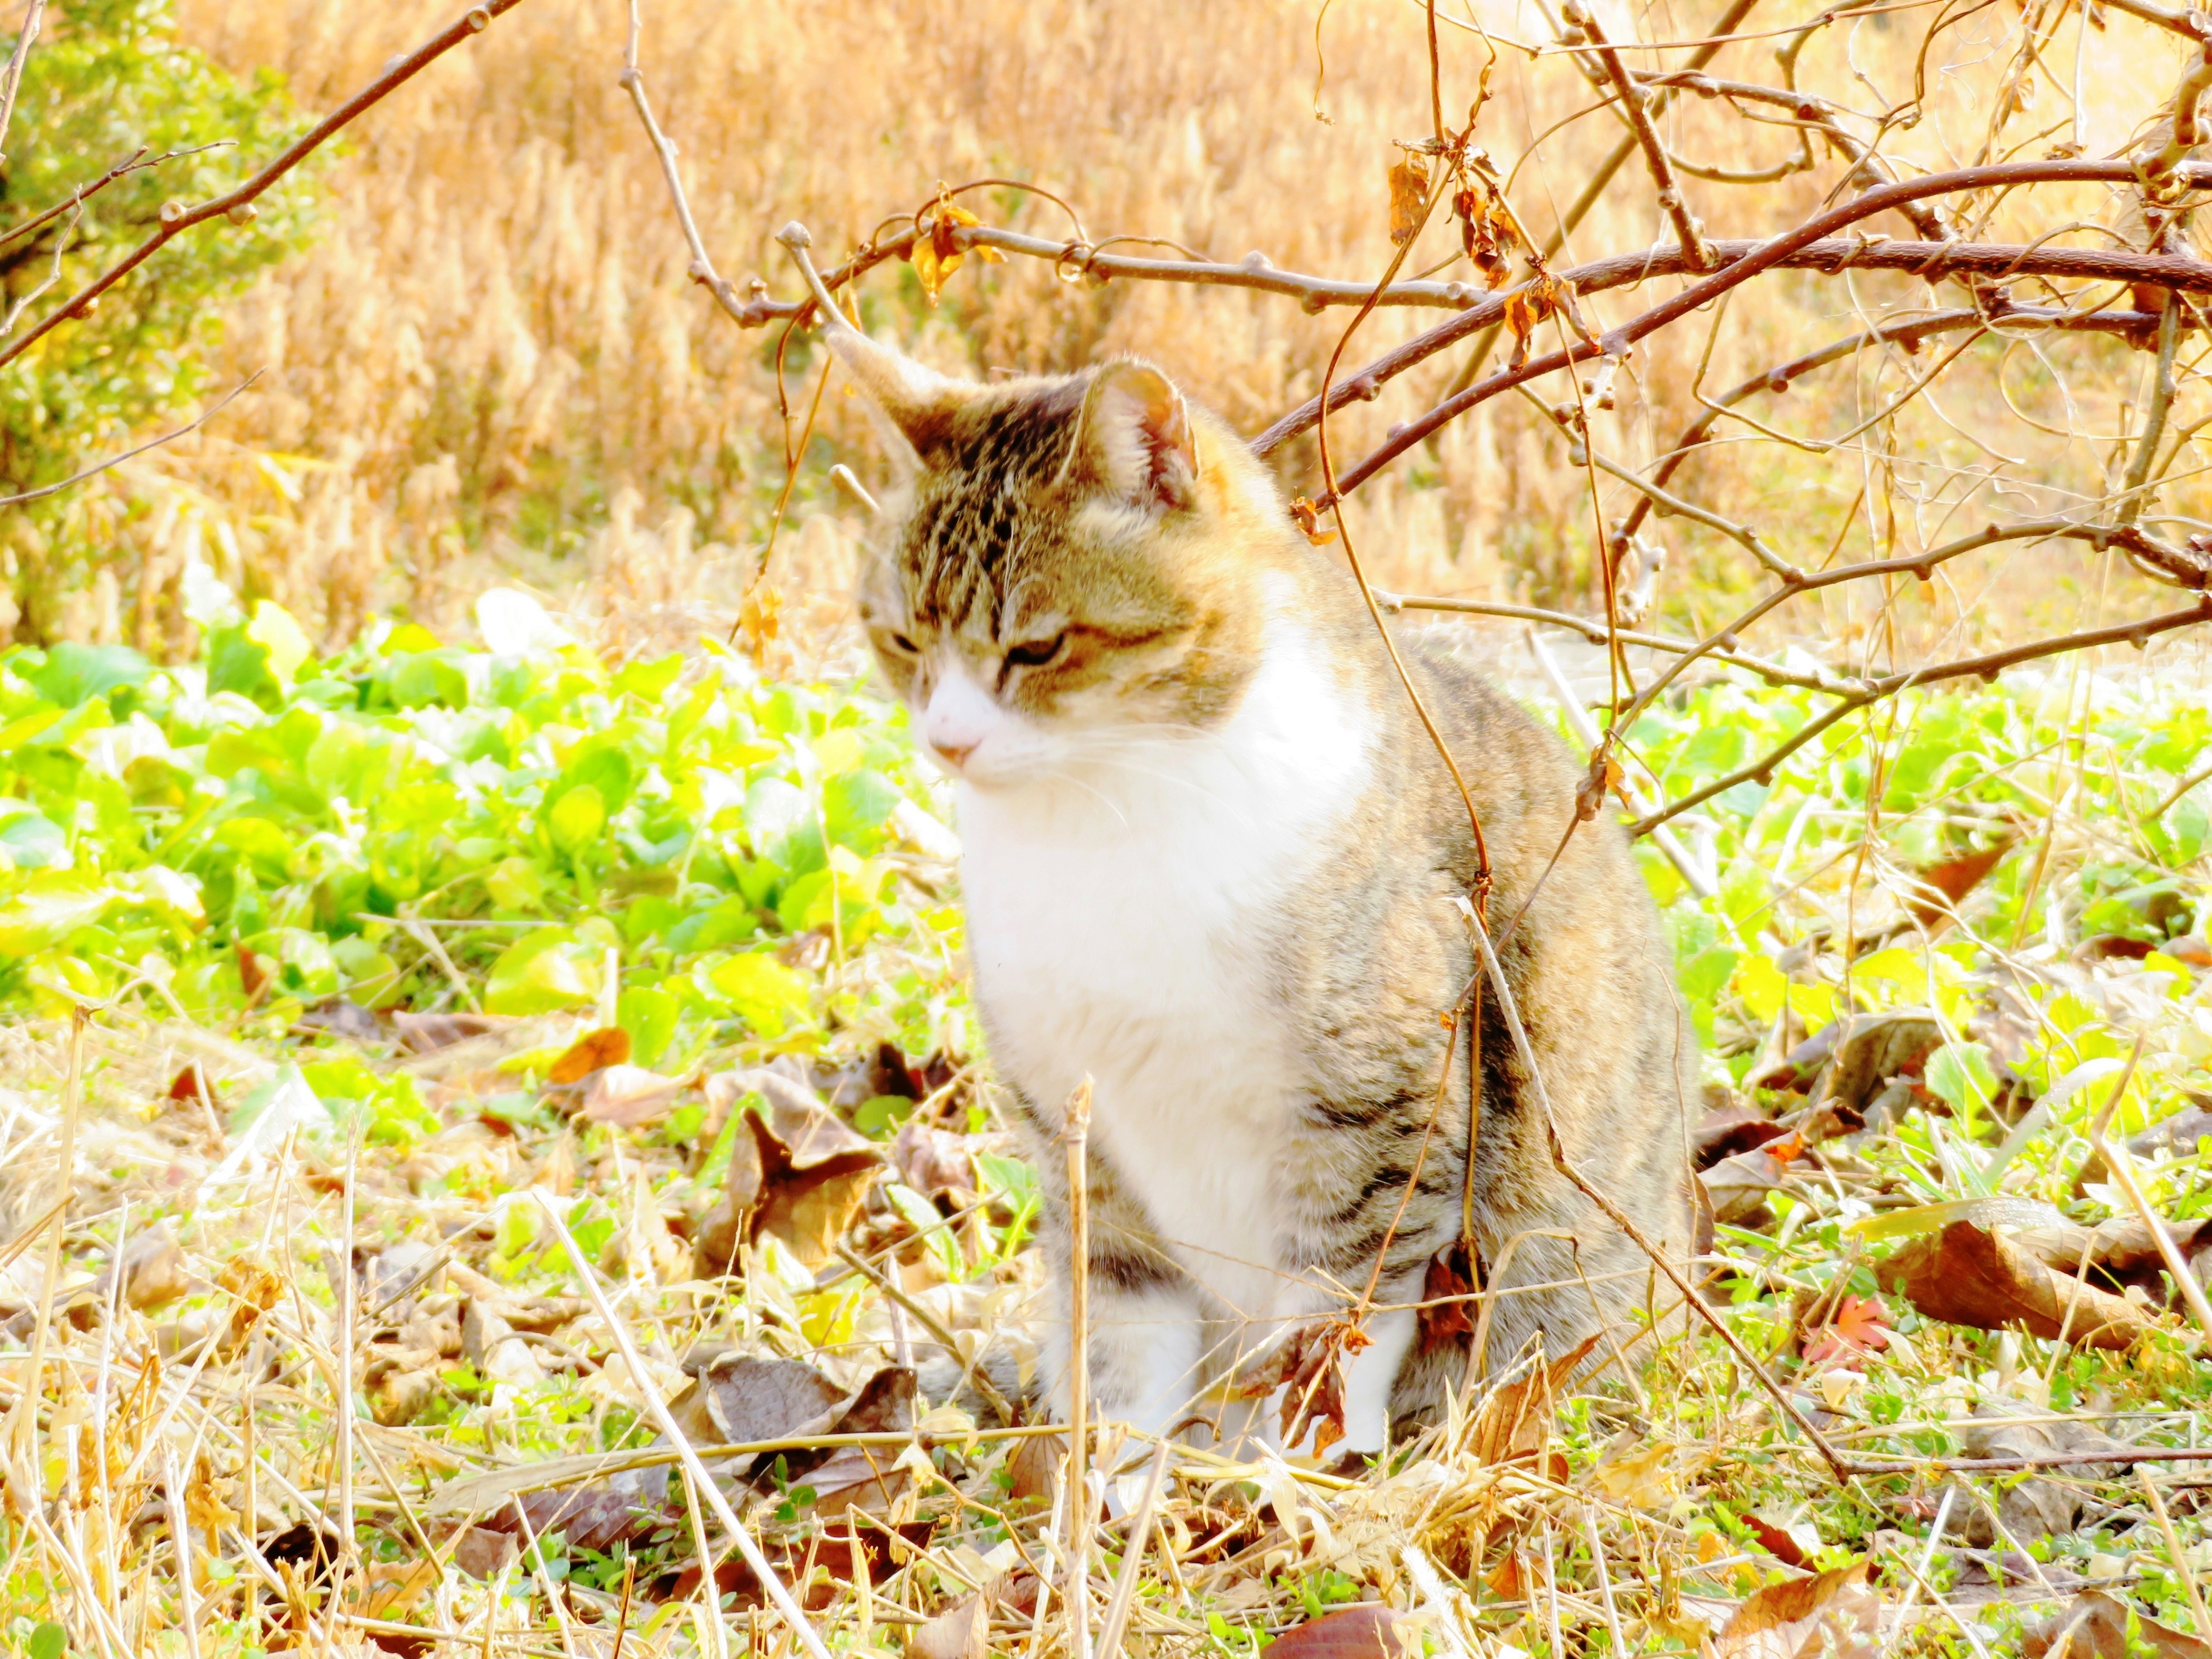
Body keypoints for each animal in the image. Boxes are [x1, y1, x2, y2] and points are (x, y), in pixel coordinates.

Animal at [831, 325, 1690, 1451]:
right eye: (901, 641)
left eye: (1037, 646)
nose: (948, 741)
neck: (1102, 823)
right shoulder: (1084, 1142)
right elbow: (1122, 1339)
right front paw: (1116, 1478)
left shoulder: (1383, 1110)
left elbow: (1337, 1322)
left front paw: (1288, 1472)